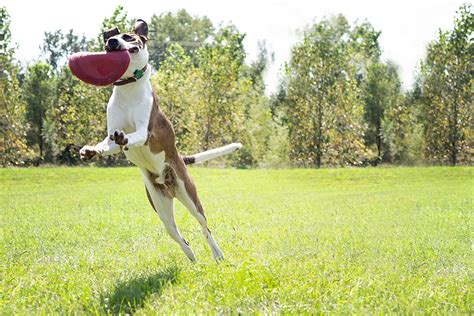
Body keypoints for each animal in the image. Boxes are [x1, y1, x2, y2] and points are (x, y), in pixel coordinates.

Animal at [79, 20, 241, 262]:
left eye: (129, 37)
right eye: (111, 38)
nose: (112, 41)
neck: (129, 89)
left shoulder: (147, 132)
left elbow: (135, 135)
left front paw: (125, 137)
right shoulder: (110, 140)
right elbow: (106, 145)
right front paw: (90, 150)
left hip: (190, 196)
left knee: (205, 227)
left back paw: (217, 254)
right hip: (160, 207)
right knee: (179, 236)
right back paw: (192, 258)